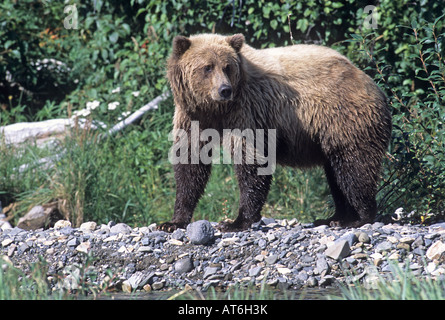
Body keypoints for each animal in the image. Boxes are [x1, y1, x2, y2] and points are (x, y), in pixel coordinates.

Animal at [158, 33, 390, 232]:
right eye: (207, 67)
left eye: (227, 67)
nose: (224, 90)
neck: (216, 110)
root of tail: (372, 83)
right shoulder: (192, 116)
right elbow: (190, 162)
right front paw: (172, 221)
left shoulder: (248, 109)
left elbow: (251, 159)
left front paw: (235, 222)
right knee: (335, 172)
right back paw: (335, 217)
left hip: (344, 117)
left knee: (354, 166)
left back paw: (359, 217)